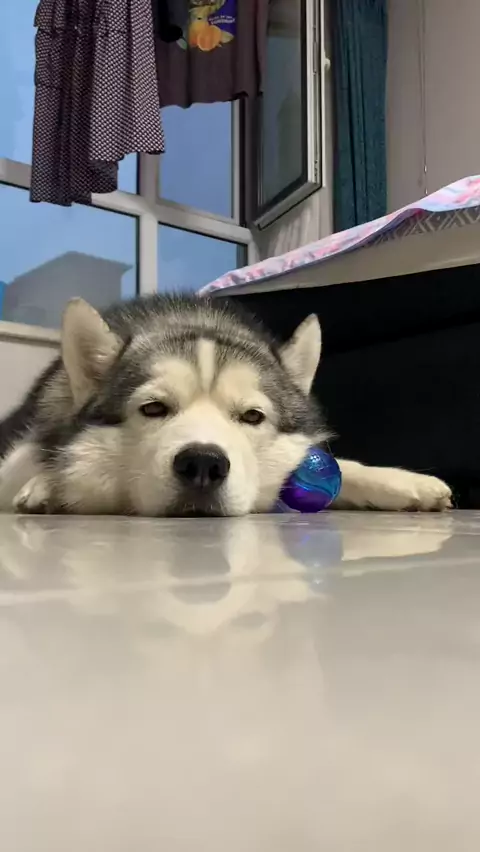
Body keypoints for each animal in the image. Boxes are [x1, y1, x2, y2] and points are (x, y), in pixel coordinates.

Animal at [0, 295, 452, 516]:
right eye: (153, 409)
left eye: (252, 416)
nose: (203, 464)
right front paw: (49, 483)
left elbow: (343, 468)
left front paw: (406, 484)